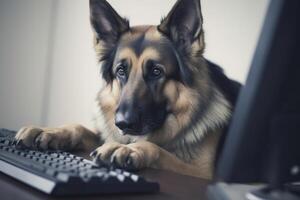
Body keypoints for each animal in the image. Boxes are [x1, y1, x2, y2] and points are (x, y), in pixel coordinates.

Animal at [15, 0, 240, 179]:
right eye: (121, 71)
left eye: (156, 71)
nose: (123, 123)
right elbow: (79, 128)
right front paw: (49, 131)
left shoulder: (203, 173)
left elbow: (159, 150)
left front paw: (127, 149)